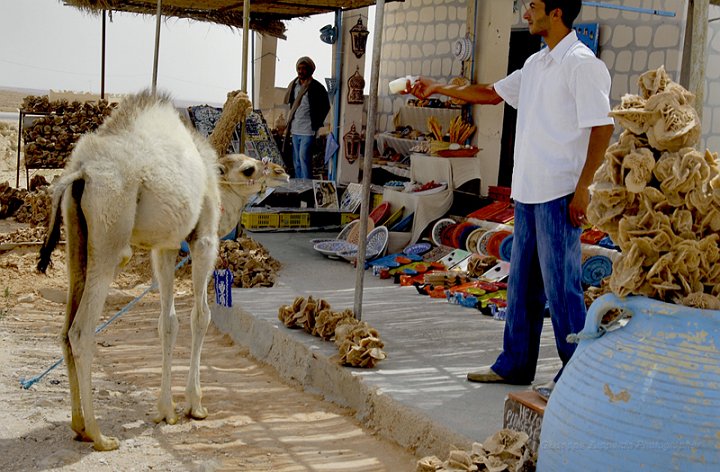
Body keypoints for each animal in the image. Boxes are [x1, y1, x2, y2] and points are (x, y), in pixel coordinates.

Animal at [37, 90, 290, 452]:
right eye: (248, 168)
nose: (282, 171)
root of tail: (80, 173)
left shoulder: (165, 248)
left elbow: (167, 322)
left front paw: (165, 410)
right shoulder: (204, 239)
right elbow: (200, 316)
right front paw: (195, 406)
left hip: (76, 237)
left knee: (64, 329)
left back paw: (78, 426)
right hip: (110, 232)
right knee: (81, 331)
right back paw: (100, 435)